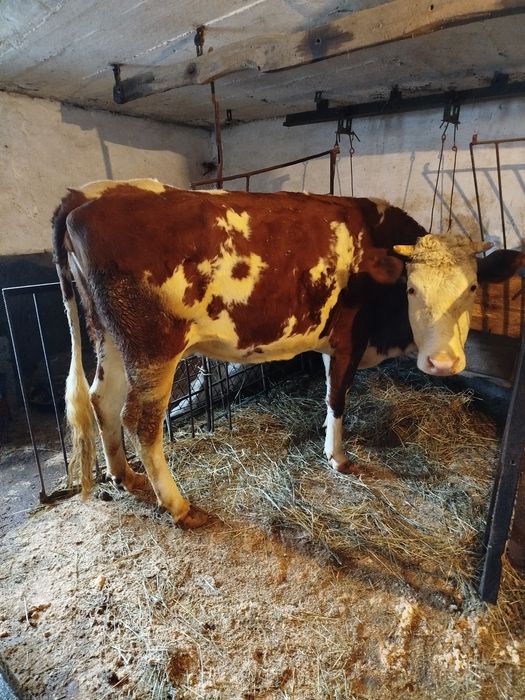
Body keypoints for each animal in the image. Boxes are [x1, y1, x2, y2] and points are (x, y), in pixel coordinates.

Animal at [52, 179, 524, 528]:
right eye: (411, 289)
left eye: (473, 287)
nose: (442, 363)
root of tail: (88, 194)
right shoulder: (349, 338)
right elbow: (338, 397)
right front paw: (338, 458)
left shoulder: (331, 343)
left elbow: (329, 394)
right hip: (154, 347)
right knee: (143, 422)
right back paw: (179, 506)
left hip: (111, 336)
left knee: (102, 400)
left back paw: (123, 475)